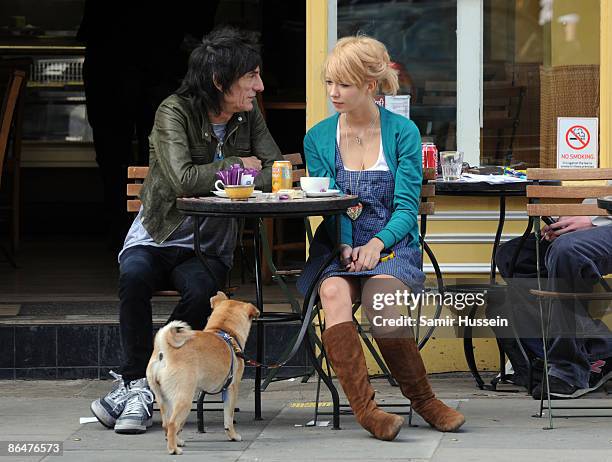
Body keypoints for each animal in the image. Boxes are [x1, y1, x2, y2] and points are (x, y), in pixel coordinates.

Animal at [147, 292, 260, 454]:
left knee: (167, 424)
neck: (224, 330)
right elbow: (229, 416)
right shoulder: (231, 389)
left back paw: (176, 442)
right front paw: (232, 435)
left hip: (164, 398)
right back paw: (174, 449)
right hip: (184, 398)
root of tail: (165, 350)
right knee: (173, 424)